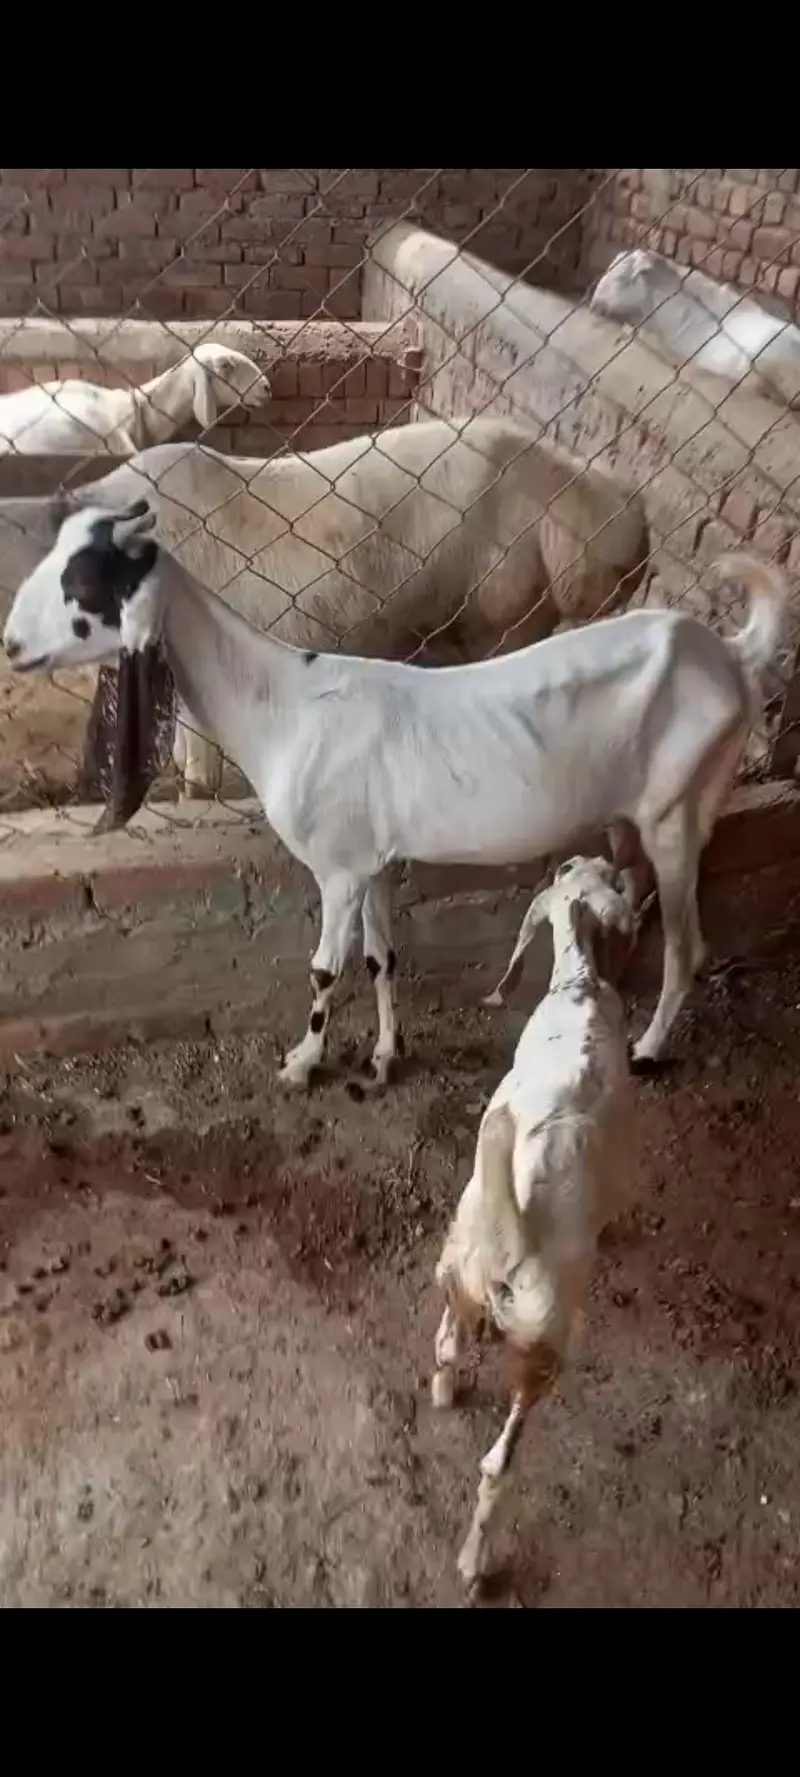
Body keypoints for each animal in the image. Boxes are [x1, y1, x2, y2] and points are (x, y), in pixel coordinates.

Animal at [1, 502, 785, 1077]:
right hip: (632, 817)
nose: (11, 645)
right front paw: (384, 1057)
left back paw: (649, 1049)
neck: (282, 706)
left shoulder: (338, 867)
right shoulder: (372, 860)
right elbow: (383, 957)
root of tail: (728, 654)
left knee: (687, 944)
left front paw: (303, 1062)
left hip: (679, 811)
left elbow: (325, 968)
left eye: (83, 586)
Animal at [432, 855, 637, 1593]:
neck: (579, 989)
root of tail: (506, 1250)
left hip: (454, 1262)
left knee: (446, 1344)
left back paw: (443, 1391)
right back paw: (474, 1564)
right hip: (546, 1343)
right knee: (498, 1466)